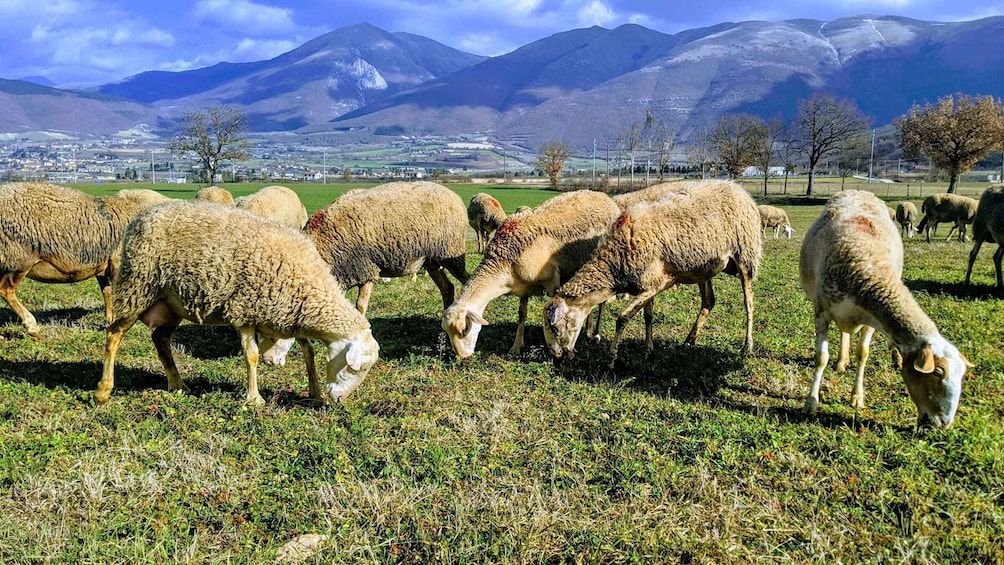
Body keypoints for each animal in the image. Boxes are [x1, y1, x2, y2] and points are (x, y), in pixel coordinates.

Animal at [0, 183, 170, 339]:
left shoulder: (103, 266)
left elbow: (107, 291)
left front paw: (109, 320)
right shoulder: (119, 263)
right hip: (19, 259)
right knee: (6, 290)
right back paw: (32, 327)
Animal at [94, 203, 377, 407]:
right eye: (356, 367)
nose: (338, 400)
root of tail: (141, 217)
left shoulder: (289, 315)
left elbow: (309, 353)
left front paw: (315, 393)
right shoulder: (244, 311)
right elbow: (251, 356)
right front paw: (254, 399)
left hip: (172, 303)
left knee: (160, 339)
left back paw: (178, 385)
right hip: (138, 286)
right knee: (114, 334)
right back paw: (103, 392)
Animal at [445, 191, 622, 357]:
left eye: (464, 330)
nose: (463, 357)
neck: (504, 260)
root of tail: (604, 196)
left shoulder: (553, 281)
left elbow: (554, 314)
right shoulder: (523, 286)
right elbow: (522, 315)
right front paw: (517, 346)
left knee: (601, 304)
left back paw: (596, 334)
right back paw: (588, 330)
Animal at [546, 181, 755, 367]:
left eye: (554, 328)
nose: (555, 355)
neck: (615, 260)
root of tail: (735, 186)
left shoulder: (653, 284)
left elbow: (622, 318)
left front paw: (611, 359)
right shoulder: (648, 285)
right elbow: (648, 316)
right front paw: (648, 351)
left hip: (745, 254)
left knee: (749, 302)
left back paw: (747, 346)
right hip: (703, 269)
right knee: (708, 301)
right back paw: (689, 340)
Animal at [799, 189, 971, 429]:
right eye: (937, 372)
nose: (944, 424)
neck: (866, 266)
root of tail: (859, 190)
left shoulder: (871, 321)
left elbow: (863, 353)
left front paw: (857, 397)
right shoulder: (821, 311)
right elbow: (821, 358)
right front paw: (811, 402)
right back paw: (841, 362)